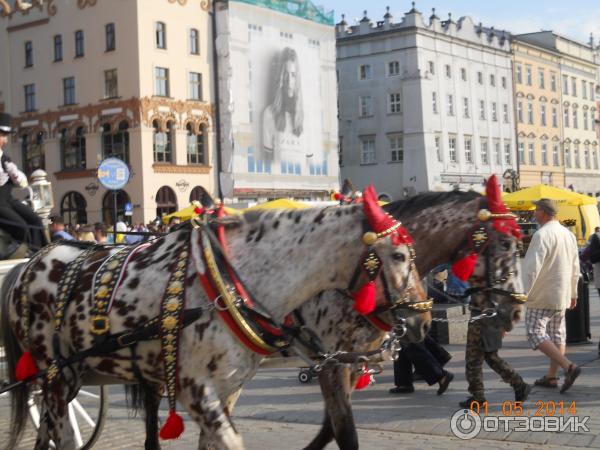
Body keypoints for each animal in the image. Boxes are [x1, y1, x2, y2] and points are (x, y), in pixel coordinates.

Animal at [0, 186, 432, 450]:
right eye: (398, 255)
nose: (424, 321)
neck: (234, 281)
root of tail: (28, 265)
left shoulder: (228, 390)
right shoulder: (196, 390)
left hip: (63, 381)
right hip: (56, 377)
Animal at [300, 185, 524, 446]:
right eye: (506, 244)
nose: (517, 310)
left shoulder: (347, 361)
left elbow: (333, 427)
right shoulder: (333, 363)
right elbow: (342, 429)